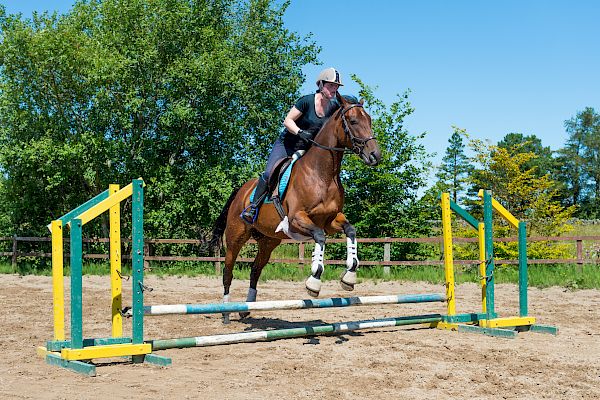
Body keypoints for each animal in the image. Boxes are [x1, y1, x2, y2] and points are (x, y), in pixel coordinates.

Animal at [211, 93, 380, 322]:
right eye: (353, 121)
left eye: (369, 120)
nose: (375, 155)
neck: (322, 174)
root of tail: (241, 191)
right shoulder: (296, 219)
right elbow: (319, 237)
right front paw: (314, 281)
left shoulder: (330, 220)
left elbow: (350, 230)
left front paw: (349, 277)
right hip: (236, 237)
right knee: (228, 270)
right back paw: (226, 312)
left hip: (269, 241)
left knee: (255, 269)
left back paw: (247, 307)